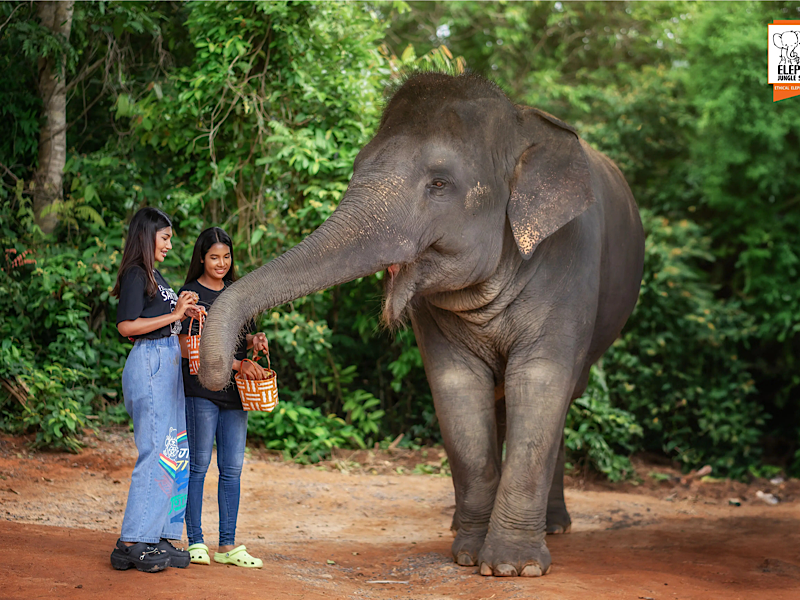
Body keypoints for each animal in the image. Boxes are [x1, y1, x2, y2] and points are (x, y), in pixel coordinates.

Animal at [199, 72, 645, 577]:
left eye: (439, 183)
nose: (219, 371)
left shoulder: (570, 265)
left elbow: (541, 383)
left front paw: (513, 568)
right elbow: (456, 390)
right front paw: (468, 556)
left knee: (561, 397)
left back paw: (555, 528)